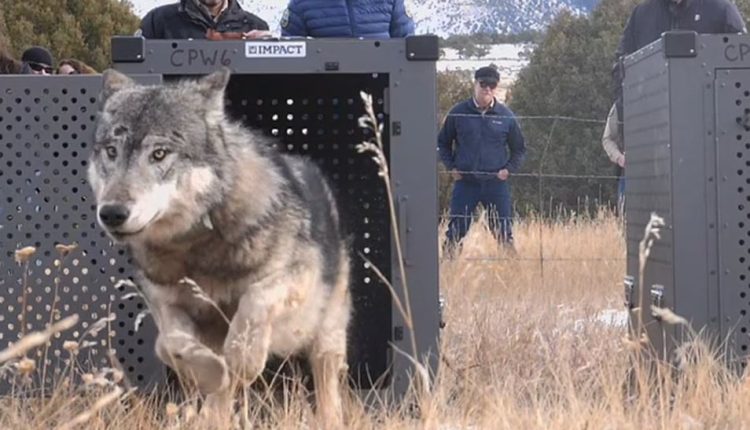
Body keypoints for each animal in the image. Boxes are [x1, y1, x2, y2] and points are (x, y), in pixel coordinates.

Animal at [89, 68, 354, 424]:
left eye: (159, 153)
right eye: (111, 151)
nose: (112, 213)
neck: (197, 248)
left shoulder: (296, 277)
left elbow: (254, 304)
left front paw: (244, 358)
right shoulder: (164, 301)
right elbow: (170, 345)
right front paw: (211, 373)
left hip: (326, 337)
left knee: (327, 390)